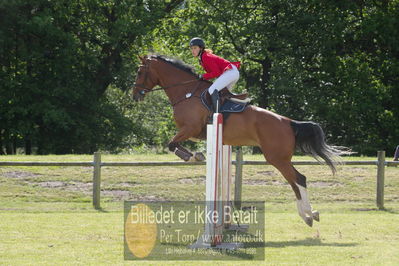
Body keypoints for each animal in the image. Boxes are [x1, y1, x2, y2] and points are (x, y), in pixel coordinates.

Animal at [134, 53, 350, 227]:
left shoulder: (190, 129)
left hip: (276, 158)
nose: (135, 95)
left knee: (298, 179)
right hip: (280, 158)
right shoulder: (192, 132)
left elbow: (171, 144)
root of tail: (289, 122)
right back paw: (310, 214)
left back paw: (307, 215)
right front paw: (195, 155)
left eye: (139, 72)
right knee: (295, 180)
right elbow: (173, 144)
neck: (186, 93)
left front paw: (193, 156)